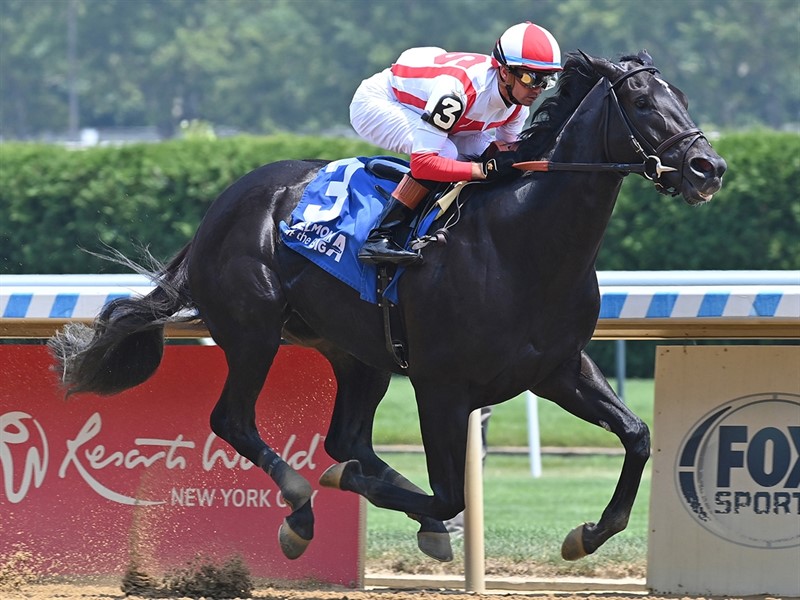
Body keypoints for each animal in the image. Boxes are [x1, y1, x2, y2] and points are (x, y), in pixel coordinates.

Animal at [49, 50, 726, 564]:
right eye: (642, 102)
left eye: (684, 96)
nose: (708, 166)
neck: (521, 245)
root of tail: (223, 205)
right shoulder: (442, 387)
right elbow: (450, 493)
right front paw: (360, 494)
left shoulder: (559, 368)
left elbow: (637, 436)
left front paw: (586, 534)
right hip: (254, 332)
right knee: (235, 421)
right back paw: (303, 510)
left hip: (358, 354)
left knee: (346, 438)